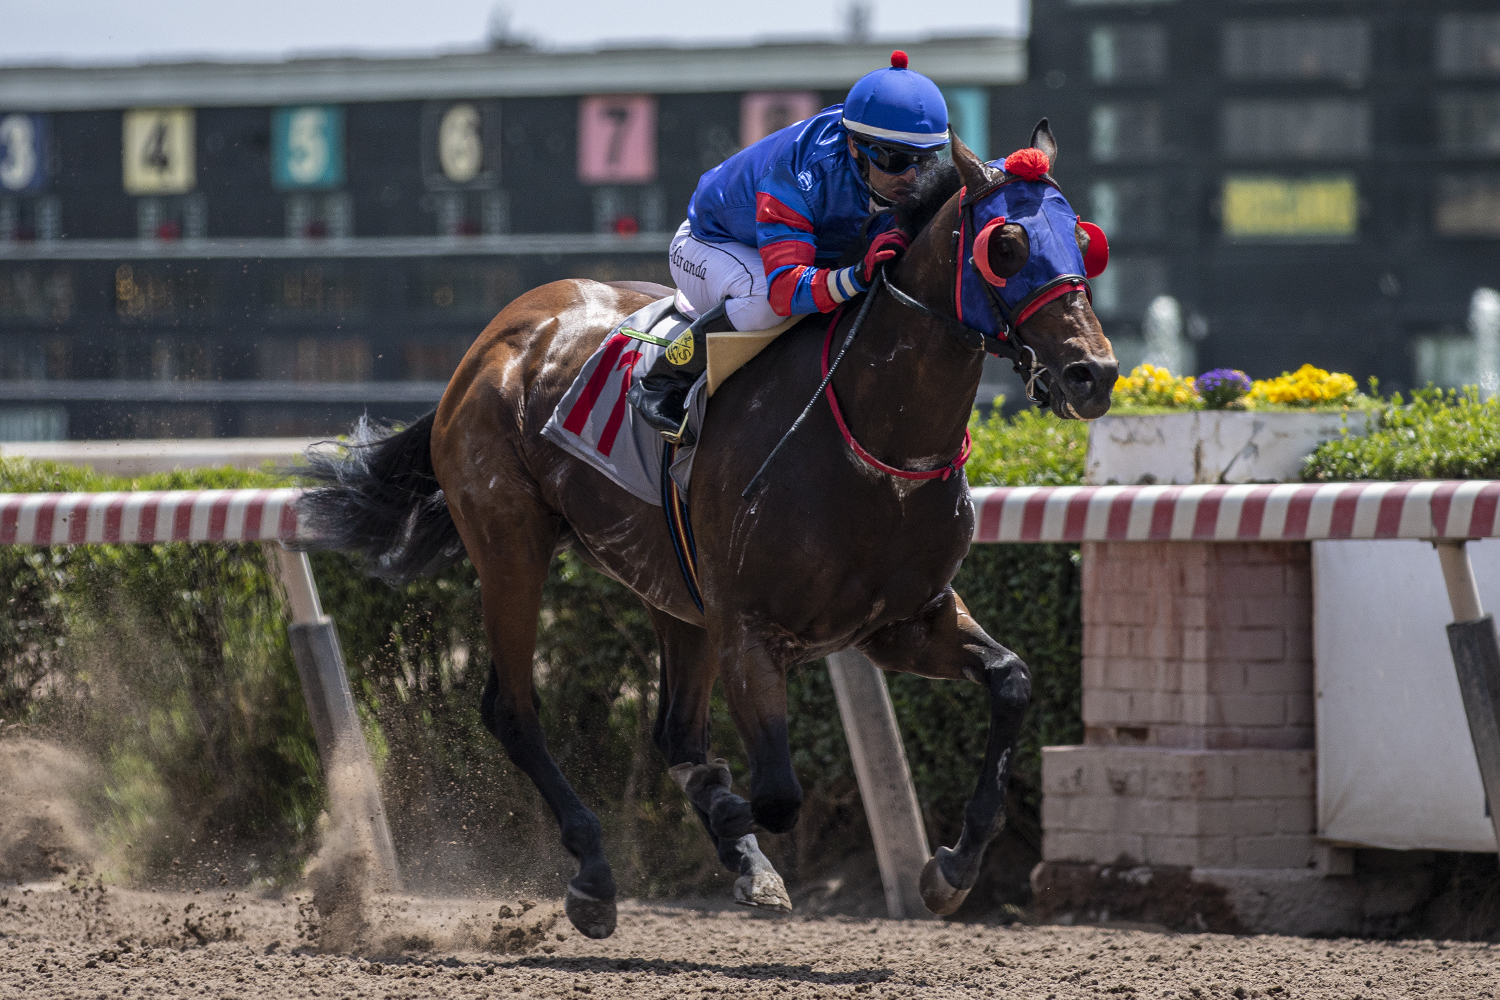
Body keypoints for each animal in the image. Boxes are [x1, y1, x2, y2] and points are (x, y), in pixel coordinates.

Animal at [302, 122, 1117, 939]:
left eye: (1082, 238)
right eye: (1005, 244)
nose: (1094, 373)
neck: (873, 438)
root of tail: (495, 336)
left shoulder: (900, 621)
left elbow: (1011, 680)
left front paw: (951, 867)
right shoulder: (750, 630)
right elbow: (779, 793)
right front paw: (734, 822)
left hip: (671, 586)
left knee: (675, 731)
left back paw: (738, 861)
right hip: (511, 545)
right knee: (513, 710)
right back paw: (595, 873)